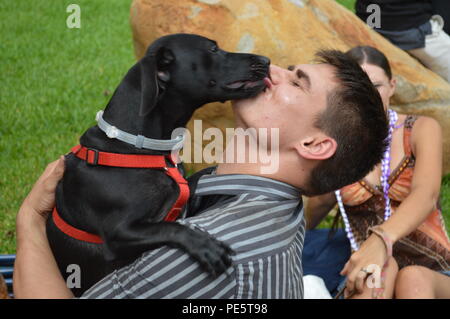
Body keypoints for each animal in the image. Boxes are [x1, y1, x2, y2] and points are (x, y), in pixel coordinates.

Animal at [45, 33, 270, 296]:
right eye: (213, 49)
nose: (266, 61)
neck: (136, 145)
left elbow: (199, 182)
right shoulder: (119, 232)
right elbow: (169, 228)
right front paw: (204, 245)